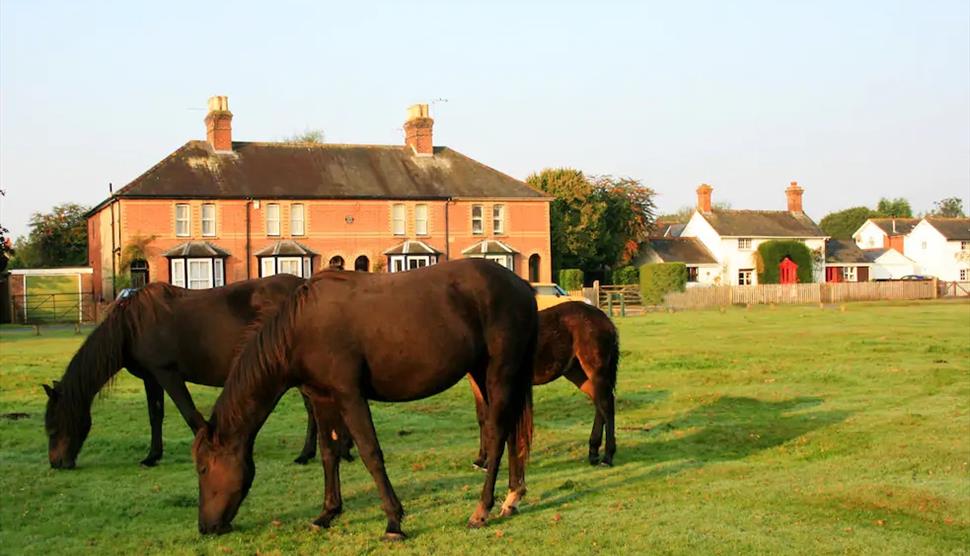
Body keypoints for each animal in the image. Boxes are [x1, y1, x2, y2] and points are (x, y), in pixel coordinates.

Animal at [41, 274, 332, 470]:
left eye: (54, 426)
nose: (57, 463)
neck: (131, 325)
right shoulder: (152, 378)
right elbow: (155, 416)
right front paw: (152, 456)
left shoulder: (168, 374)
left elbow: (189, 413)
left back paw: (305, 454)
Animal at [191, 258, 536, 540]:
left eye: (204, 469)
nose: (206, 527)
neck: (302, 329)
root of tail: (521, 287)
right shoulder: (323, 398)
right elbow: (329, 452)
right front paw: (327, 513)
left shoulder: (350, 395)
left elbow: (370, 453)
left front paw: (394, 522)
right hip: (484, 374)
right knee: (508, 432)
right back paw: (511, 498)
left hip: (499, 374)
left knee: (497, 433)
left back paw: (482, 509)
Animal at [470, 302, 620, 466]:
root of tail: (607, 321)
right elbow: (482, 417)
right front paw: (481, 459)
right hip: (578, 373)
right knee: (599, 403)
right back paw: (593, 452)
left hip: (595, 370)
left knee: (606, 405)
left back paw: (607, 457)